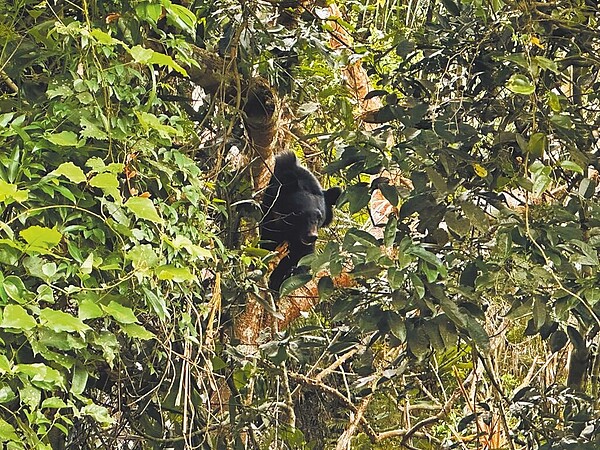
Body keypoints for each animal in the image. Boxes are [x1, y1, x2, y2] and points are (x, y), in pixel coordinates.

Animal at [258, 151, 340, 292]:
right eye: (299, 213)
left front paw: (284, 275)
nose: (311, 236)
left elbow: (304, 255)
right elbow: (267, 240)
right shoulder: (270, 213)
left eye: (319, 217)